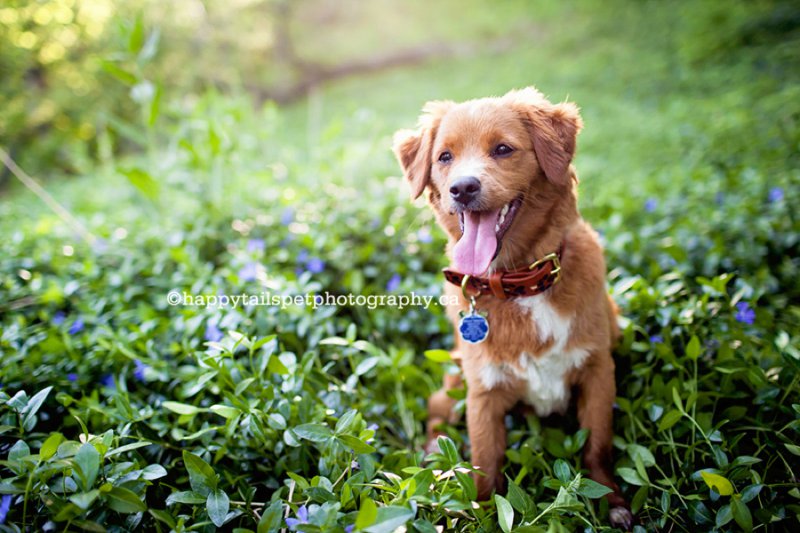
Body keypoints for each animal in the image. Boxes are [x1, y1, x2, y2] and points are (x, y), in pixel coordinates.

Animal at [392, 87, 632, 528]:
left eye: (503, 149)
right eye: (445, 157)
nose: (462, 188)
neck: (522, 285)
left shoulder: (598, 372)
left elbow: (598, 447)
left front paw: (613, 501)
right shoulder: (483, 394)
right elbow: (485, 463)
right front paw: (482, 512)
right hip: (453, 383)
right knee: (435, 413)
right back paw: (435, 453)